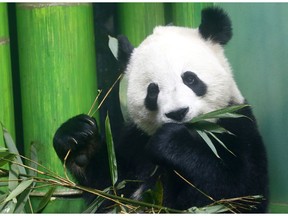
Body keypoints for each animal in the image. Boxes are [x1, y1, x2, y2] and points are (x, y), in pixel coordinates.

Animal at [53, 6, 268, 213]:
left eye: (190, 79)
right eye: (152, 91)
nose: (178, 113)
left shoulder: (237, 126)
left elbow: (238, 192)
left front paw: (171, 141)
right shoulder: (134, 142)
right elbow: (108, 189)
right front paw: (79, 141)